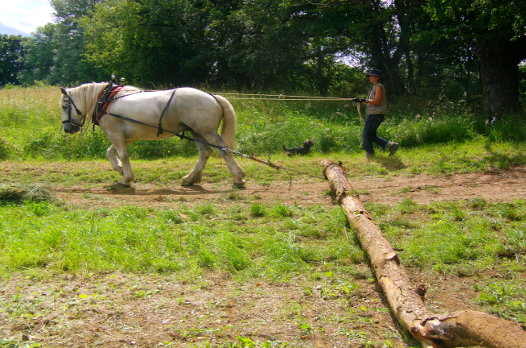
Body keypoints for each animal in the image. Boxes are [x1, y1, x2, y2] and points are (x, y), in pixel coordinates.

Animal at [60, 82, 248, 188]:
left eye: (64, 105)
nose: (67, 129)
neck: (106, 100)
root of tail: (212, 96)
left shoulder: (115, 134)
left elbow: (123, 155)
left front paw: (126, 179)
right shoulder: (125, 137)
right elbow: (110, 153)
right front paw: (120, 170)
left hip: (207, 132)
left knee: (223, 150)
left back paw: (238, 178)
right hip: (197, 132)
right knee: (205, 153)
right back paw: (190, 179)